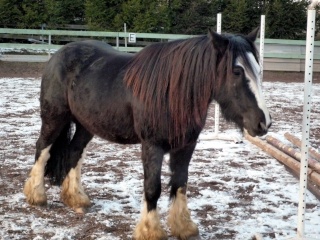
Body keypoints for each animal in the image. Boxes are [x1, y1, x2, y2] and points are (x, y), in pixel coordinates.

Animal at [23, 28, 272, 240]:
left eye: (258, 71)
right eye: (237, 71)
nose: (264, 122)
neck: (172, 92)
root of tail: (59, 54)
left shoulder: (186, 145)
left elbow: (180, 183)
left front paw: (184, 227)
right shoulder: (152, 146)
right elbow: (153, 188)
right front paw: (150, 230)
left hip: (87, 125)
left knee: (74, 152)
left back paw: (76, 198)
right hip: (54, 118)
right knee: (42, 149)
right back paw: (36, 195)